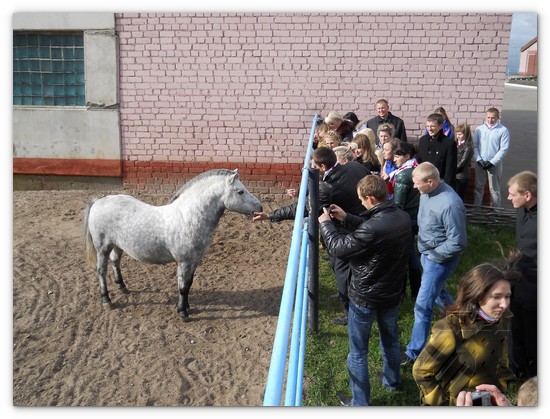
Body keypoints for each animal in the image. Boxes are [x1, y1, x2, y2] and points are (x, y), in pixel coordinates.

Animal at [83, 169, 264, 320]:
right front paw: (182, 312)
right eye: (240, 191)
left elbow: (189, 284)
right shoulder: (184, 262)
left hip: (118, 245)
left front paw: (187, 306)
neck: (189, 217)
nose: (260, 208)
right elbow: (182, 287)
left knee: (115, 262)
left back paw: (122, 287)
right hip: (102, 248)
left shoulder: (194, 262)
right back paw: (107, 300)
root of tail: (98, 201)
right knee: (101, 271)